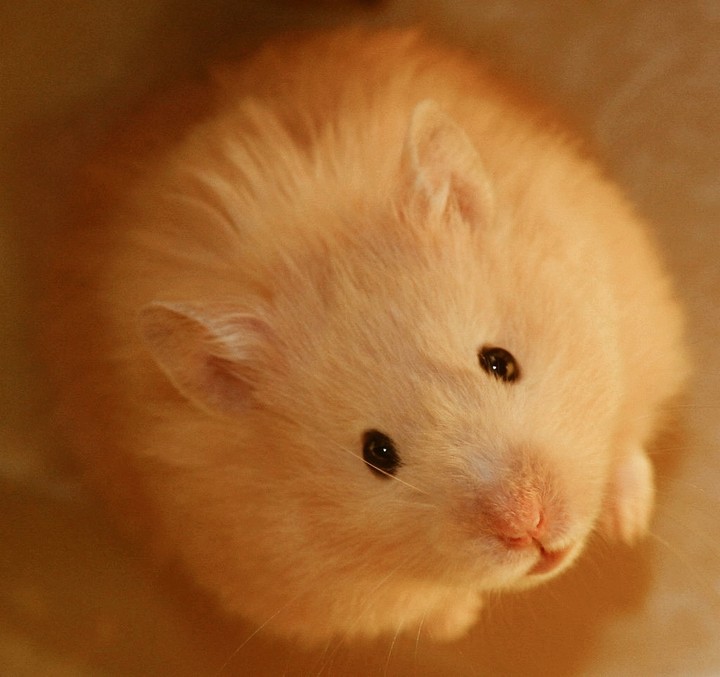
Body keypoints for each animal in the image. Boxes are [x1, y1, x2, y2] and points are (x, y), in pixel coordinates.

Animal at [44, 27, 688, 644]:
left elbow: (629, 437)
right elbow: (419, 608)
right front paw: (463, 620)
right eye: (378, 454)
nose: (530, 528)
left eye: (500, 361)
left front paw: (631, 526)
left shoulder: (629, 302)